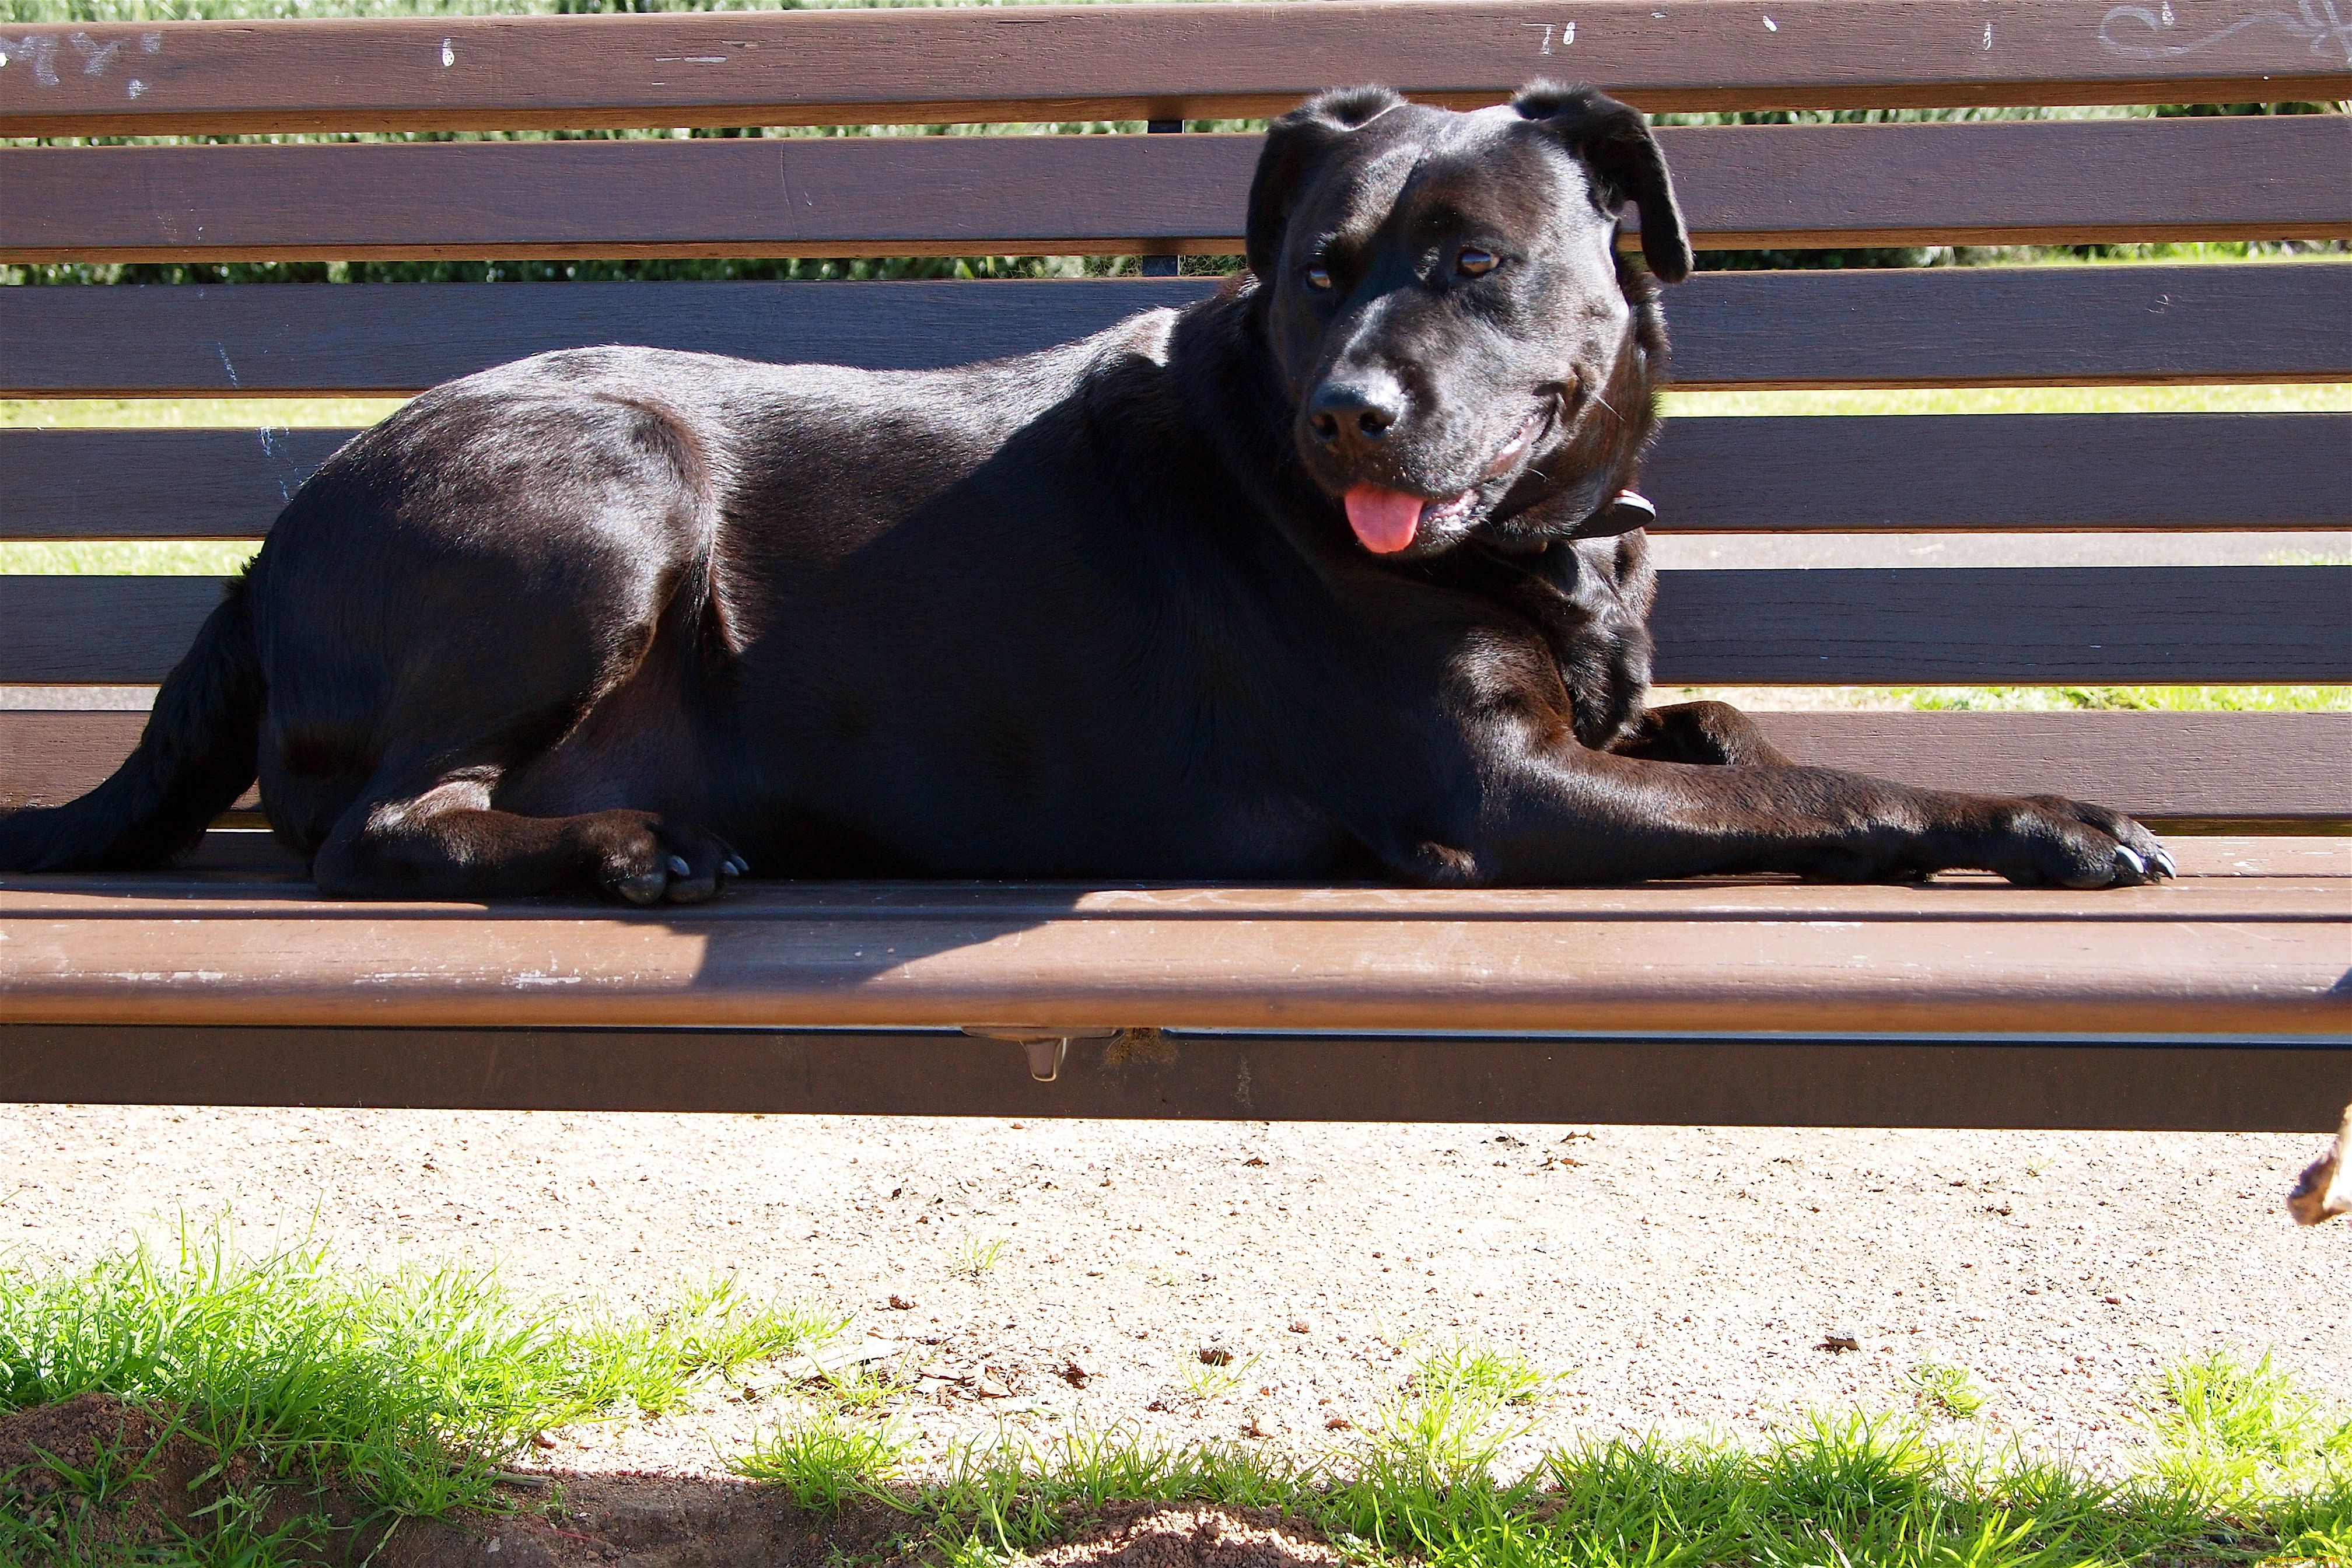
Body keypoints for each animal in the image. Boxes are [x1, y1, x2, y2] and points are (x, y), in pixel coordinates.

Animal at [0, 80, 2173, 902]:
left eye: (1472, 263)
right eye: (1319, 272)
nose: (1349, 418)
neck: (1539, 536)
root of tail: (267, 540)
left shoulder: (1595, 710)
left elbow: (1740, 731)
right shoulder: (1491, 795)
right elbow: (1823, 786)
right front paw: (2041, 812)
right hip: (601, 495)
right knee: (366, 822)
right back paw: (628, 847)